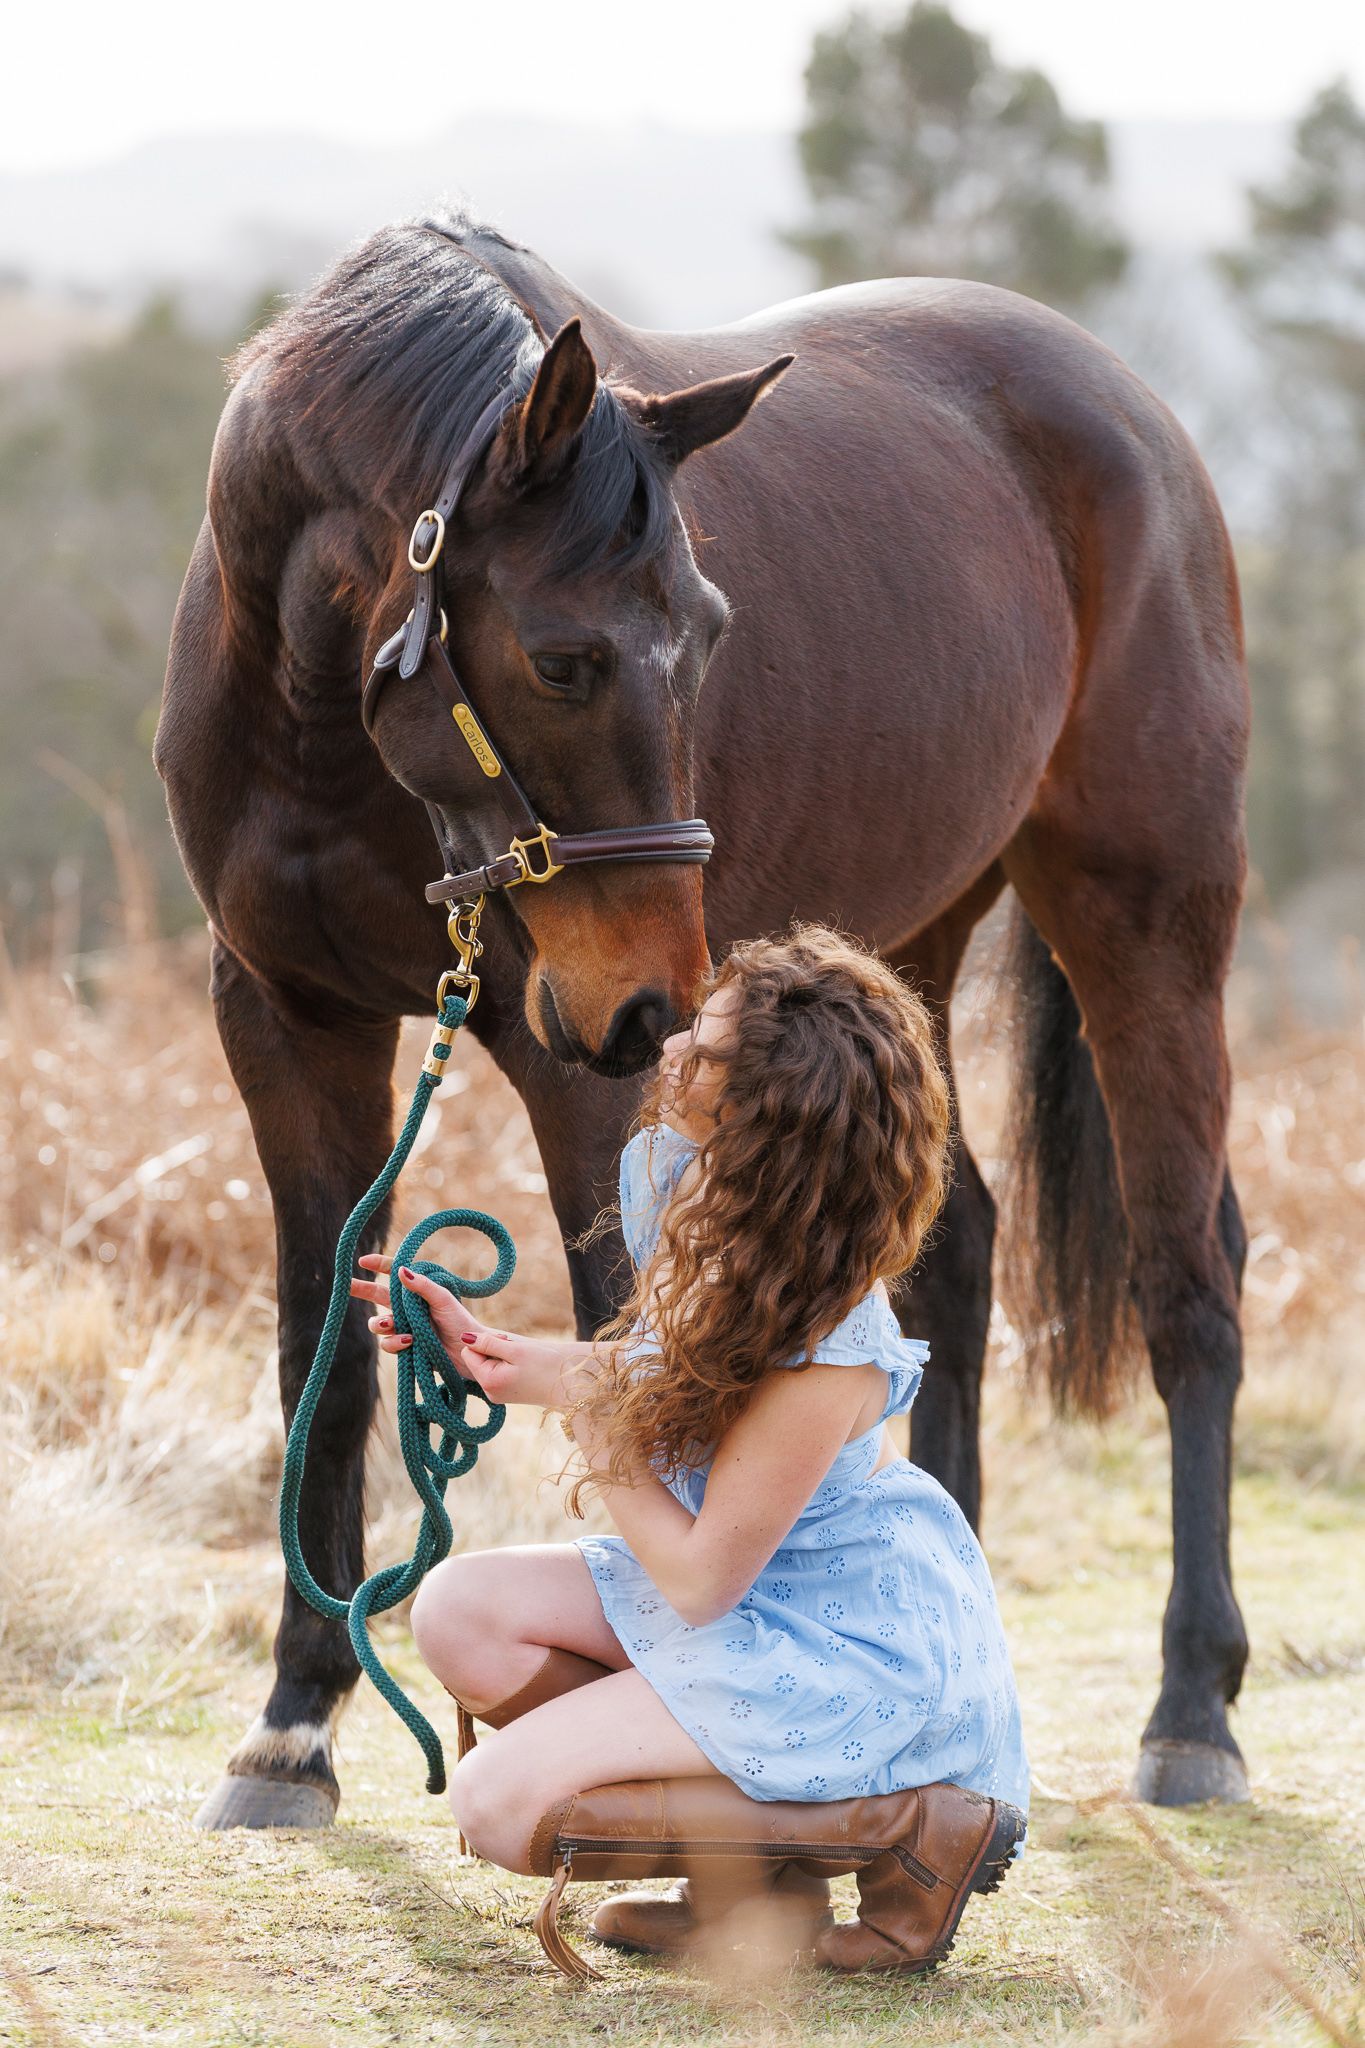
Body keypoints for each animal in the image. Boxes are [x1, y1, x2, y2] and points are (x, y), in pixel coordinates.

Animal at [156, 204, 1251, 1829]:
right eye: (562, 656)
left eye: (711, 634)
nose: (659, 999)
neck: (324, 729)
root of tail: (1141, 420)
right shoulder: (287, 1025)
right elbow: (328, 1358)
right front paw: (291, 1724)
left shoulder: (578, 1073)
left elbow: (628, 1348)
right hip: (903, 949)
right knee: (957, 1254)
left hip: (1146, 921)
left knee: (1191, 1282)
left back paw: (1191, 1710)